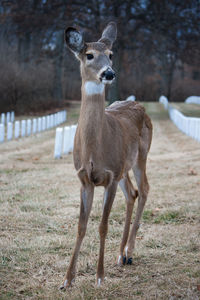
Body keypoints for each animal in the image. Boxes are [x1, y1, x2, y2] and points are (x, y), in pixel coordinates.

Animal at [60, 21, 152, 288]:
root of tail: (139, 105)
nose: (109, 73)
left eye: (111, 54)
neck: (94, 149)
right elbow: (81, 225)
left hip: (140, 157)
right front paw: (67, 279)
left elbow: (102, 225)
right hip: (124, 167)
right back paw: (120, 255)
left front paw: (99, 277)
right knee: (132, 193)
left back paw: (129, 252)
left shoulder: (109, 177)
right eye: (89, 55)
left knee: (144, 189)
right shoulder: (85, 179)